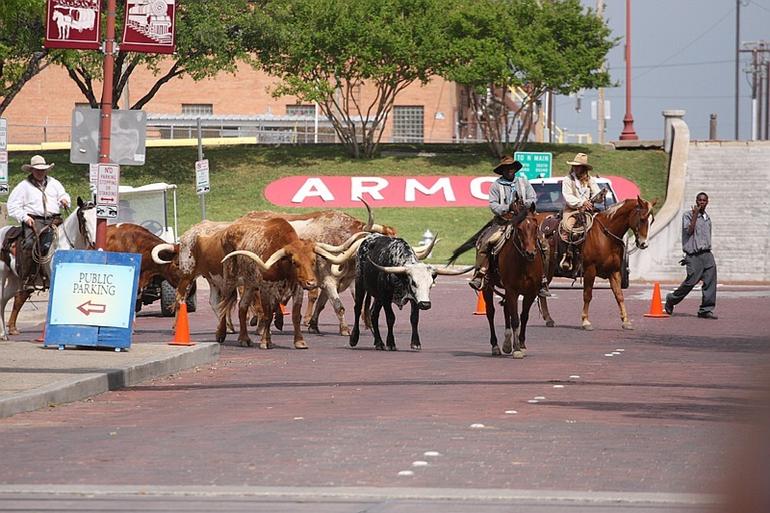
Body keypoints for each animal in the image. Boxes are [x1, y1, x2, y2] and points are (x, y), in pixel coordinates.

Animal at [536, 194, 656, 330]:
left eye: (652, 220)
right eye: (642, 219)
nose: (644, 244)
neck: (605, 236)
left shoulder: (614, 271)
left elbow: (619, 295)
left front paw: (626, 321)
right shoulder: (590, 270)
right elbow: (587, 295)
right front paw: (585, 321)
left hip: (549, 268)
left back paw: (548, 319)